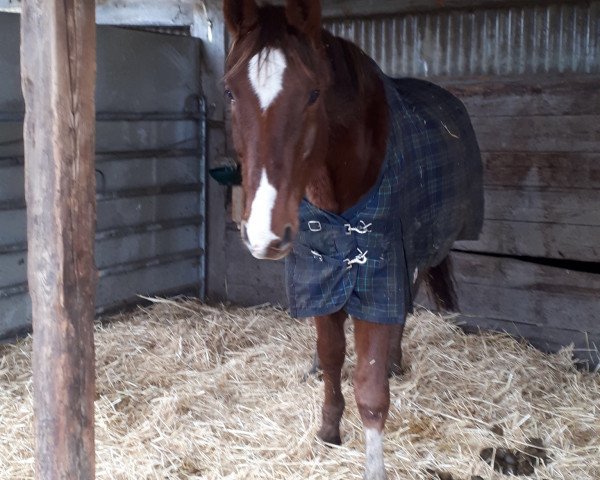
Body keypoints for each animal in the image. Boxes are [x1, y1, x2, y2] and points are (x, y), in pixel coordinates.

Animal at [223, 1, 486, 478]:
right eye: (232, 93)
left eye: (313, 94)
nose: (264, 233)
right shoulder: (320, 272)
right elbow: (331, 356)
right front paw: (328, 429)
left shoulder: (379, 269)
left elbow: (370, 386)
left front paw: (373, 464)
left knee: (404, 304)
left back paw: (396, 361)